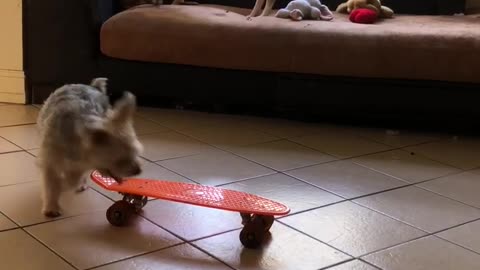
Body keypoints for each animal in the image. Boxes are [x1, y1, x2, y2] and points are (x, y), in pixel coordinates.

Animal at [37, 77, 143, 217]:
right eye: (120, 160)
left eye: (135, 153)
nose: (138, 171)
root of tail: (92, 86)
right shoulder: (50, 160)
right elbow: (51, 183)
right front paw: (51, 206)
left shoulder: (80, 165)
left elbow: (72, 181)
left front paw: (65, 185)